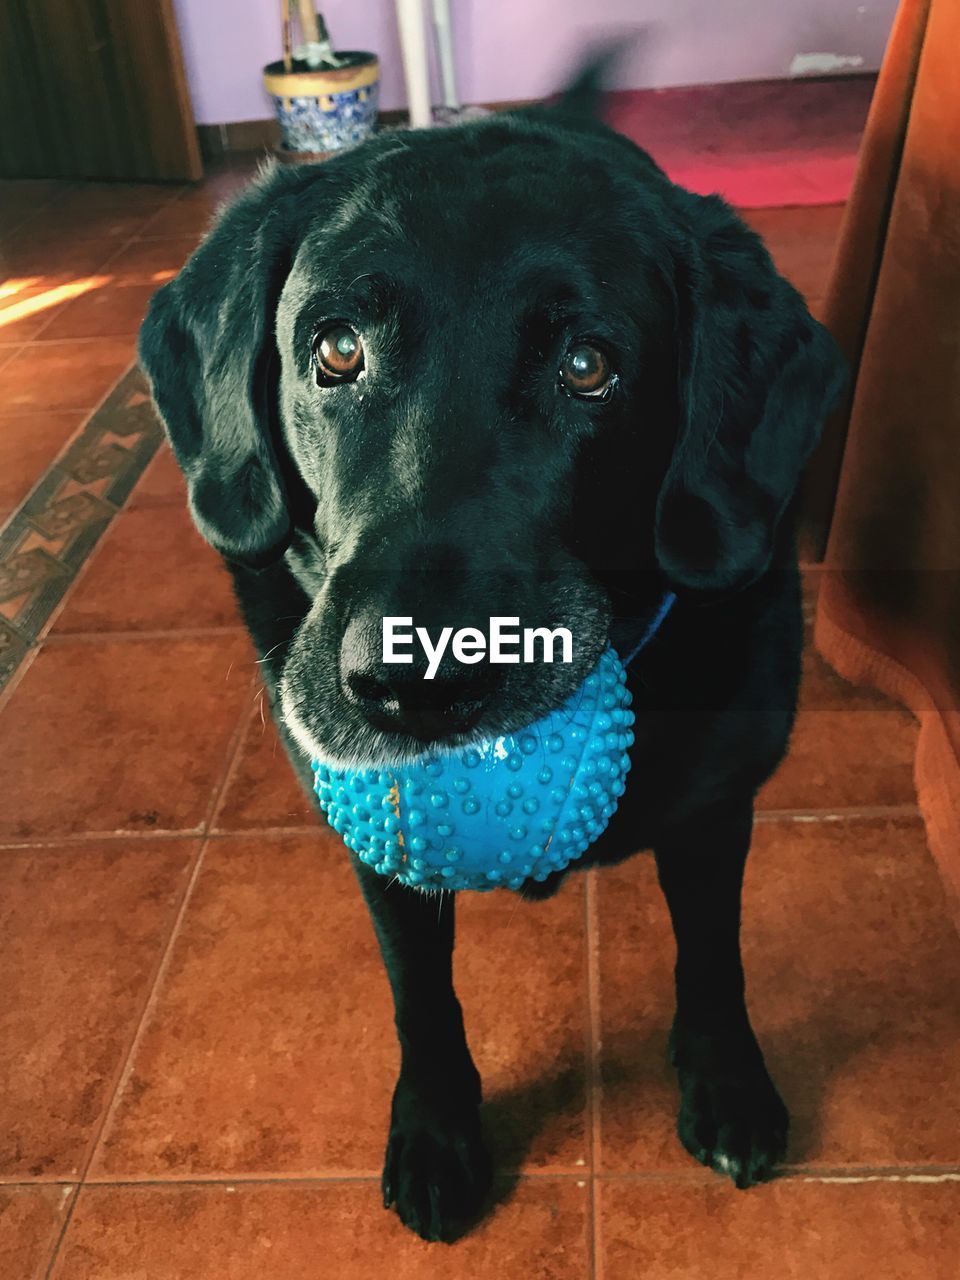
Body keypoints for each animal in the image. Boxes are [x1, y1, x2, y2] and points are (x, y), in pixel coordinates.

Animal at [138, 72, 844, 1239]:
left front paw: (727, 1080)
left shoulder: (716, 804)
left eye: (588, 366)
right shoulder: (377, 849)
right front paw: (436, 1129)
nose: (409, 678)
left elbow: (713, 952)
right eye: (336, 348)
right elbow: (420, 994)